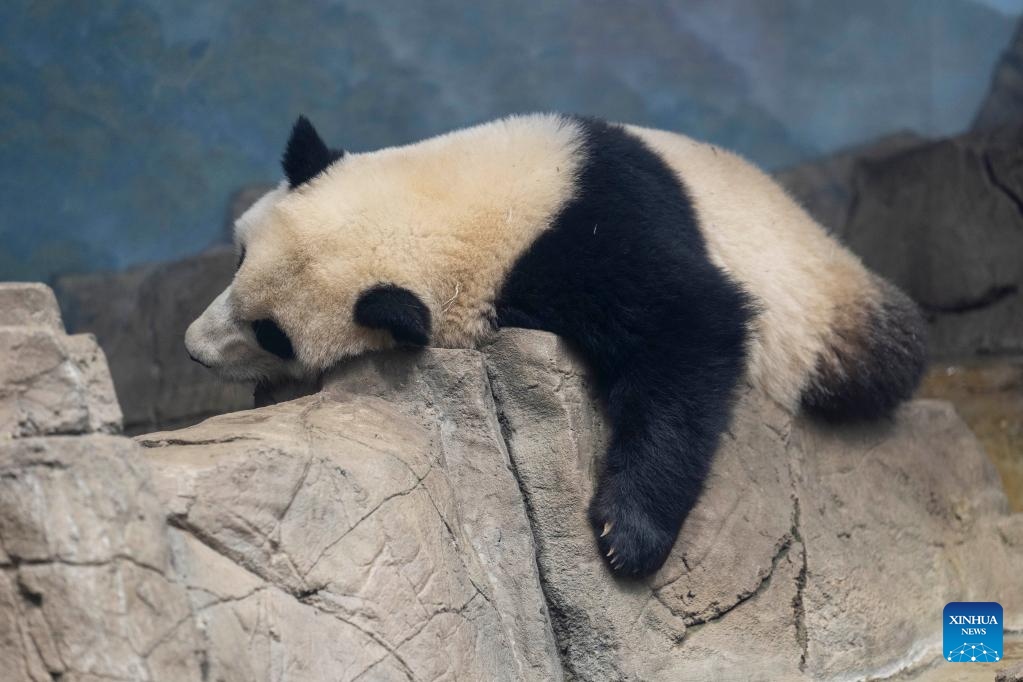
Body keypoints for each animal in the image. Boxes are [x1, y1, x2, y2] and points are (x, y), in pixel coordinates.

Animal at [185, 113, 926, 577]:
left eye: (272, 333)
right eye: (239, 259)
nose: (194, 349)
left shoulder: (598, 233)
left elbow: (694, 328)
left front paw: (627, 536)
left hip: (822, 303)